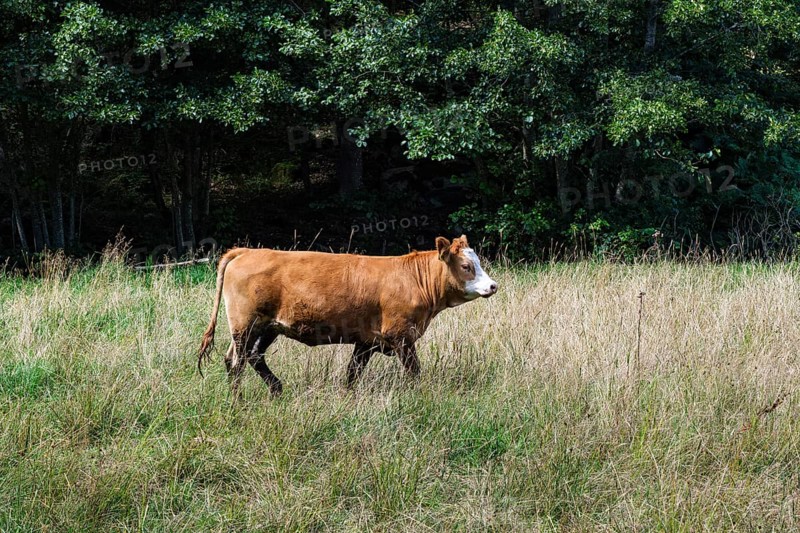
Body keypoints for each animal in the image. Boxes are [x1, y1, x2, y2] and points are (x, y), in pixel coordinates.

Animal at [197, 235, 497, 396]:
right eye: (466, 266)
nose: (493, 285)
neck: (413, 278)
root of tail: (246, 252)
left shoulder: (367, 341)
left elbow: (353, 372)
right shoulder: (401, 336)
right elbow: (414, 370)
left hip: (267, 327)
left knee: (251, 356)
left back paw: (276, 389)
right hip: (245, 324)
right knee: (237, 362)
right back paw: (239, 401)